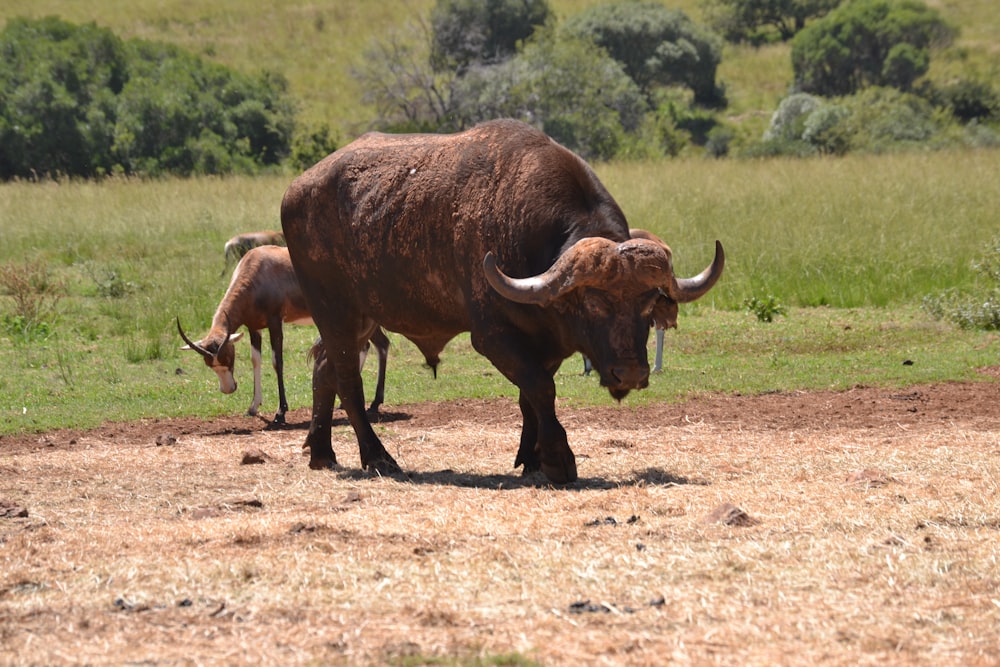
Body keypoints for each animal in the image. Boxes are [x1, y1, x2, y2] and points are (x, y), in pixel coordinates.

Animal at [178, 244, 388, 422]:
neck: (258, 267)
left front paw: (280, 413)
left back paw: (374, 403)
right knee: (370, 345)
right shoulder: (254, 328)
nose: (229, 389)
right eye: (209, 364)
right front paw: (252, 407)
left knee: (380, 344)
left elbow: (277, 362)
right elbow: (256, 361)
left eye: (228, 358)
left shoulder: (275, 322)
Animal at [280, 120, 720, 482]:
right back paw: (378, 458)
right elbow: (541, 389)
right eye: (594, 303)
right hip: (334, 310)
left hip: (362, 317)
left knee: (325, 369)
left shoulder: (545, 343)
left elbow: (530, 396)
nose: (629, 374)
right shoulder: (492, 337)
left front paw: (532, 457)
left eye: (647, 304)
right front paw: (558, 459)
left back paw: (321, 452)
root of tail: (296, 190)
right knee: (347, 381)